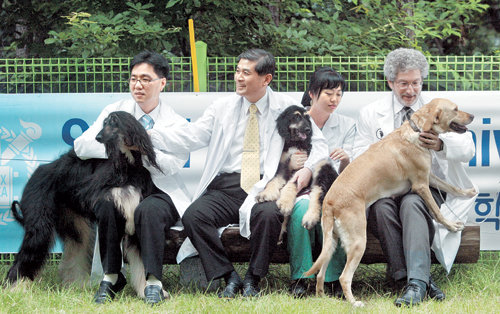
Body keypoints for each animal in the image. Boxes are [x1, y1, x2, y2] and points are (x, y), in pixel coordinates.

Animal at [5, 110, 158, 296]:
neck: (127, 166)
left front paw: (146, 290)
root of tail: (35, 174)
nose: (98, 137)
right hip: (40, 225)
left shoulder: (135, 219)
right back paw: (15, 287)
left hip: (73, 222)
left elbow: (142, 263)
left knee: (76, 248)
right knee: (27, 253)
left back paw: (76, 285)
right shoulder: (96, 193)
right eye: (104, 122)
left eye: (114, 122)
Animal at [256, 105, 338, 243]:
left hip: (322, 167)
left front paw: (285, 203)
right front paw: (265, 194)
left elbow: (293, 183)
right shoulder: (283, 166)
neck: (295, 143)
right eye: (297, 117)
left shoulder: (302, 168)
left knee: (318, 194)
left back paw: (310, 218)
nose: (309, 130)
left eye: (307, 118)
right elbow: (273, 181)